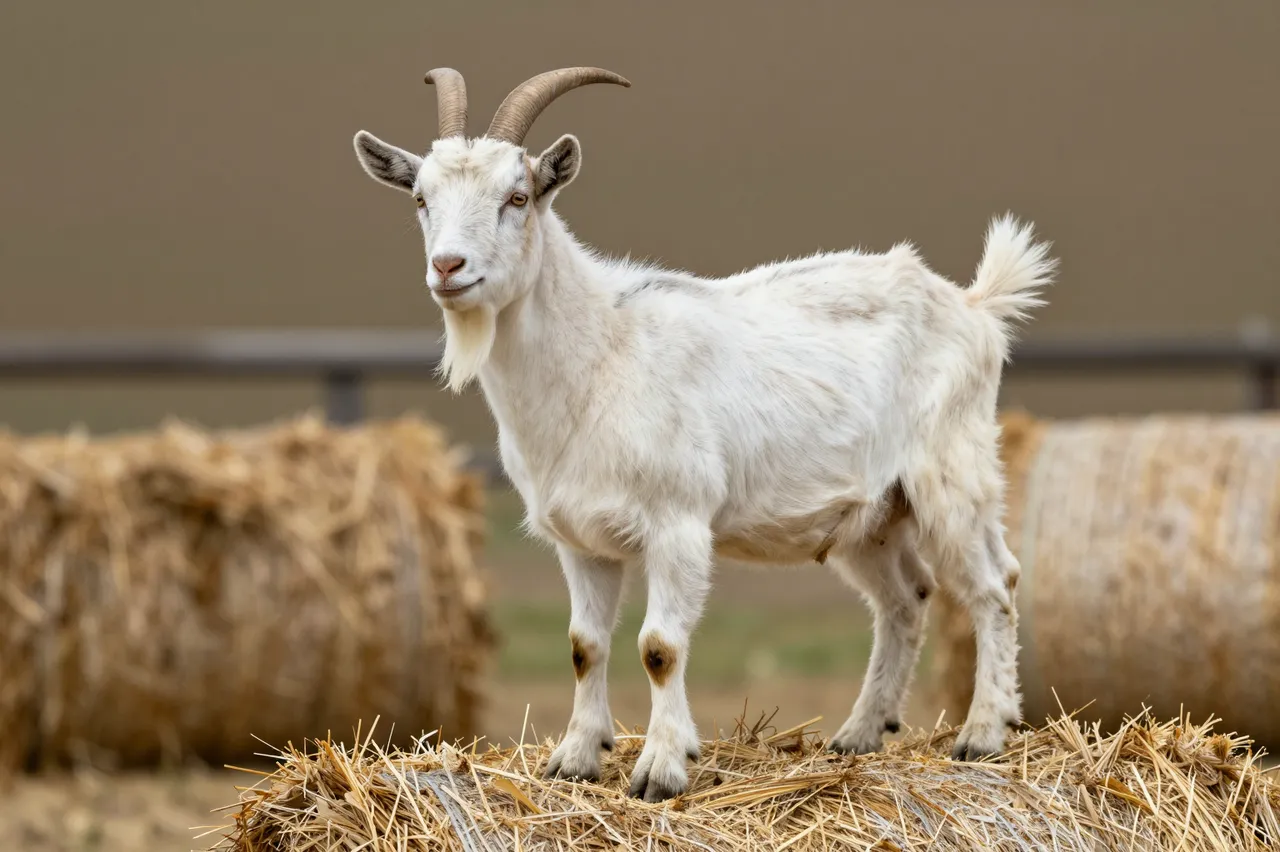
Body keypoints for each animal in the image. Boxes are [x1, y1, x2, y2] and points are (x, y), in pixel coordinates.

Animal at [352, 66, 1057, 802]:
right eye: (421, 198)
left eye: (517, 197)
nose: (448, 268)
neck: (603, 353)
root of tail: (974, 306)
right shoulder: (579, 540)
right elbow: (584, 646)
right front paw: (575, 759)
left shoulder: (678, 523)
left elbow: (660, 647)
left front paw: (661, 769)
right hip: (873, 515)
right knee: (906, 597)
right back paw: (859, 734)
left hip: (952, 474)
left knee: (993, 585)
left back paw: (983, 734)